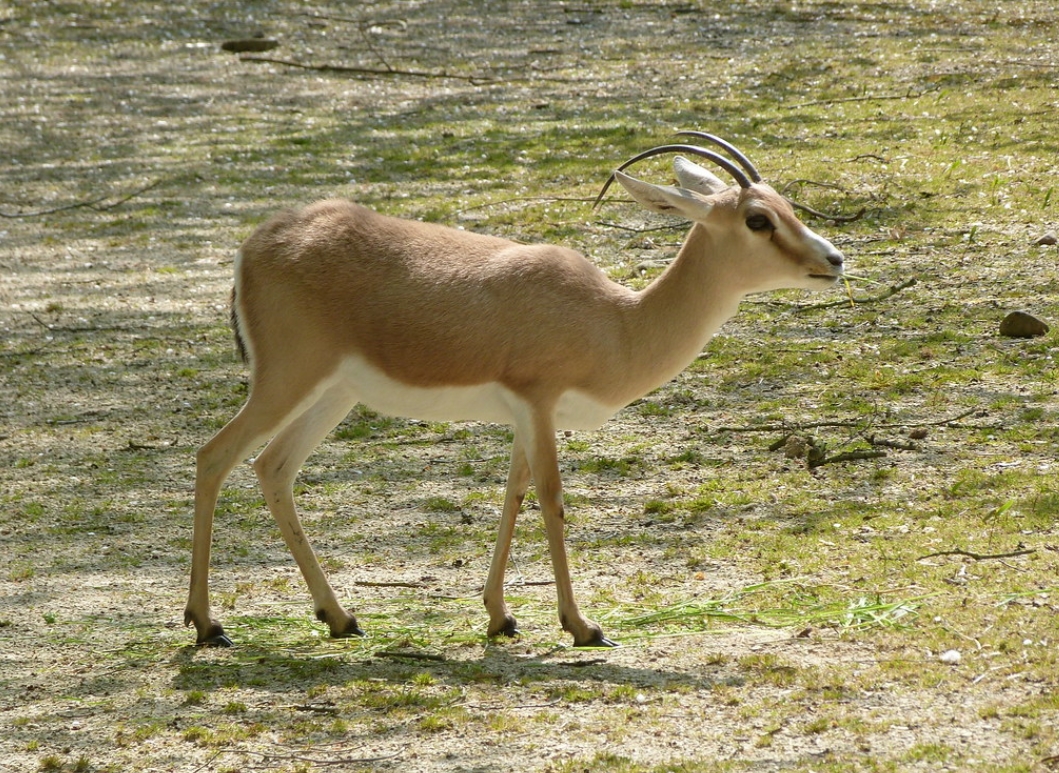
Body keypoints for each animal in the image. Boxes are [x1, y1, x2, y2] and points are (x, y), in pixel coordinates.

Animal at [184, 132, 845, 648]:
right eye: (757, 220)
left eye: (785, 205)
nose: (835, 259)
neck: (616, 322)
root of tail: (255, 245)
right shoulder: (538, 402)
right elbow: (551, 499)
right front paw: (582, 626)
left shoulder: (524, 416)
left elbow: (514, 494)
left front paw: (500, 617)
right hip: (286, 381)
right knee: (214, 456)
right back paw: (207, 624)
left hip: (334, 394)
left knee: (272, 468)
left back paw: (340, 617)